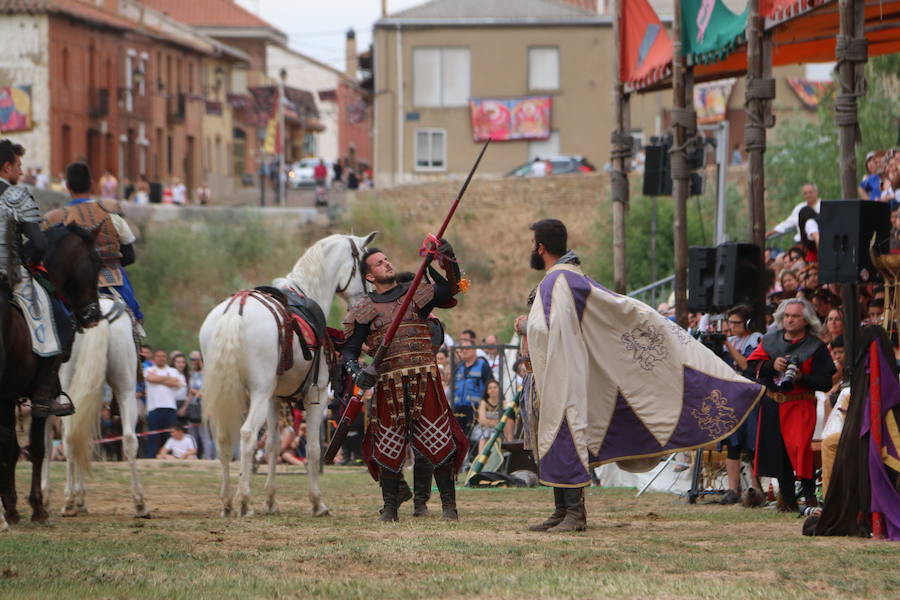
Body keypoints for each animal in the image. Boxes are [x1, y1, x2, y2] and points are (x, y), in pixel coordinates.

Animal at [0, 223, 101, 528]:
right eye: (96, 262)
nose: (93, 314)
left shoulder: (7, 396)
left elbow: (10, 447)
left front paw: (12, 508)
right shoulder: (39, 394)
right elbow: (36, 447)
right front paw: (37, 508)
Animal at [41, 298, 148, 516]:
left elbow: (47, 445)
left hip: (68, 389)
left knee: (69, 439)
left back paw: (69, 502)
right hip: (125, 389)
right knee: (129, 439)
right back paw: (140, 503)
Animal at [200, 232, 372, 516]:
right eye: (363, 267)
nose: (363, 300)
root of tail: (237, 308)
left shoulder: (273, 398)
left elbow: (272, 445)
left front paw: (271, 501)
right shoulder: (316, 395)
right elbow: (313, 449)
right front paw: (317, 502)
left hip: (227, 392)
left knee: (223, 438)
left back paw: (227, 502)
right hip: (256, 393)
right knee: (246, 435)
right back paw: (243, 500)